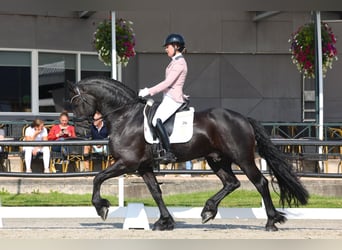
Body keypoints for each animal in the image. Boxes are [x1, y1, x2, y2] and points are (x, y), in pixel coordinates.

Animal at [68, 75, 308, 230]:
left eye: (77, 102)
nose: (81, 131)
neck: (125, 116)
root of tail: (243, 118)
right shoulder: (143, 166)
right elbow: (155, 192)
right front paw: (165, 222)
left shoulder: (128, 162)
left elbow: (98, 178)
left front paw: (101, 207)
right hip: (217, 160)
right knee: (231, 183)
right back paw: (208, 211)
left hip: (243, 158)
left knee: (260, 183)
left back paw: (271, 221)